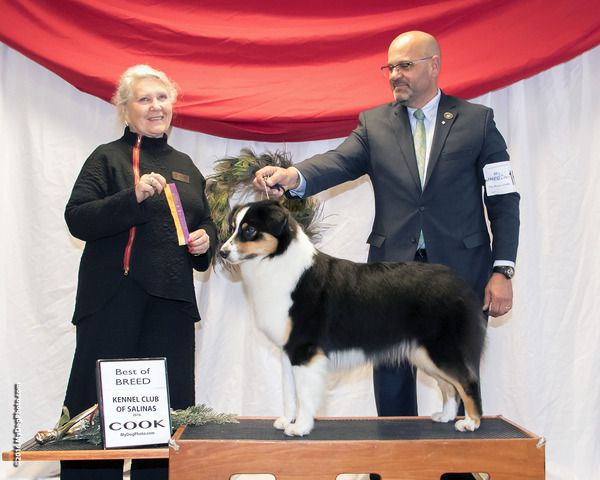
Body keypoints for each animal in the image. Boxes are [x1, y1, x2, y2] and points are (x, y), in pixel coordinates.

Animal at [220, 199, 488, 436]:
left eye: (250, 230)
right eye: (233, 228)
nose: (222, 252)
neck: (277, 262)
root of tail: (459, 283)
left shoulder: (306, 349)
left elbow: (305, 393)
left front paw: (300, 428)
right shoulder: (289, 351)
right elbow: (289, 391)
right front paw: (287, 420)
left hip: (442, 348)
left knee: (467, 381)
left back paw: (471, 423)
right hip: (424, 353)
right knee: (449, 385)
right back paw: (446, 416)